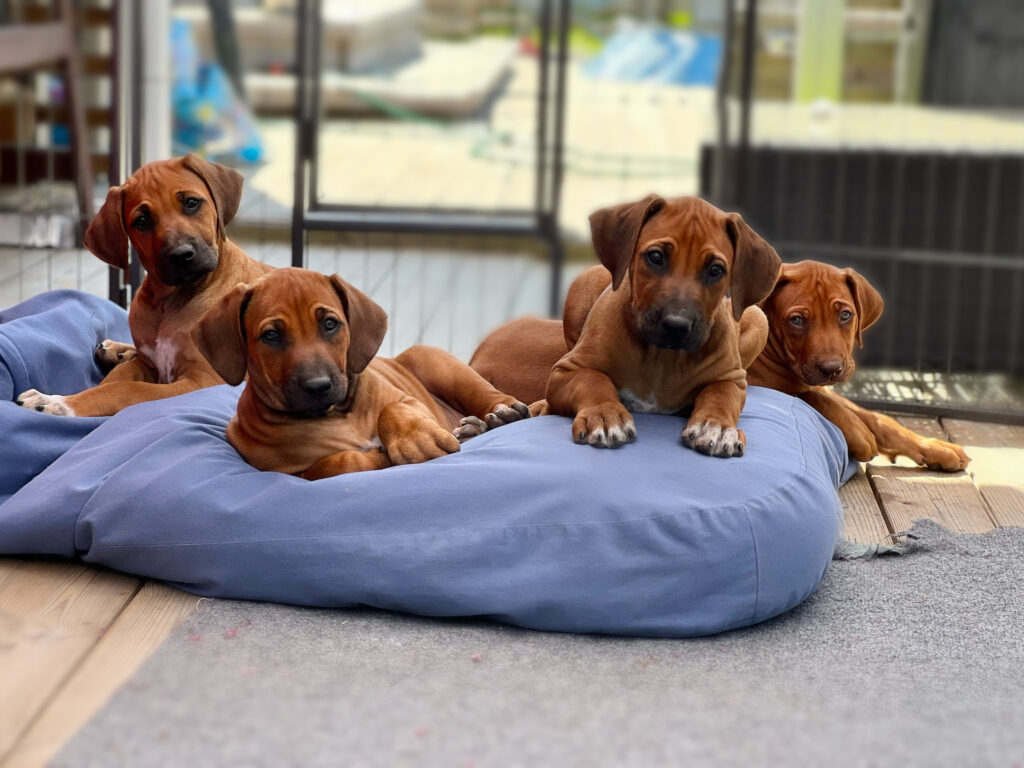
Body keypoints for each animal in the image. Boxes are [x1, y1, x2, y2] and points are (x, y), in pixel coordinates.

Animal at [16, 154, 272, 417]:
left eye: (192, 203)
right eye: (142, 221)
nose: (182, 255)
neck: (173, 300)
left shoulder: (203, 381)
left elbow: (123, 389)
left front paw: (60, 403)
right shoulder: (149, 363)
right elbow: (116, 378)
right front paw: (66, 396)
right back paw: (118, 350)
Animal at [194, 267, 530, 478]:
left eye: (330, 324)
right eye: (271, 336)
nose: (318, 386)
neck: (336, 414)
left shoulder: (408, 400)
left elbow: (391, 409)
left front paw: (416, 440)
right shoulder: (286, 471)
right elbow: (331, 465)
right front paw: (377, 456)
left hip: (435, 362)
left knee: (495, 396)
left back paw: (503, 415)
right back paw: (473, 429)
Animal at [475, 195, 781, 457]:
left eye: (716, 270)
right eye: (655, 257)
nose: (676, 325)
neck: (662, 357)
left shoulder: (733, 378)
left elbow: (721, 394)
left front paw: (715, 427)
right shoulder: (566, 370)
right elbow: (593, 379)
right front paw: (605, 415)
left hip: (758, 318)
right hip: (581, 287)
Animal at [747, 260, 970, 471]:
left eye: (845, 315)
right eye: (796, 320)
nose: (832, 369)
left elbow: (877, 418)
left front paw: (935, 448)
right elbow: (812, 397)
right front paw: (858, 432)